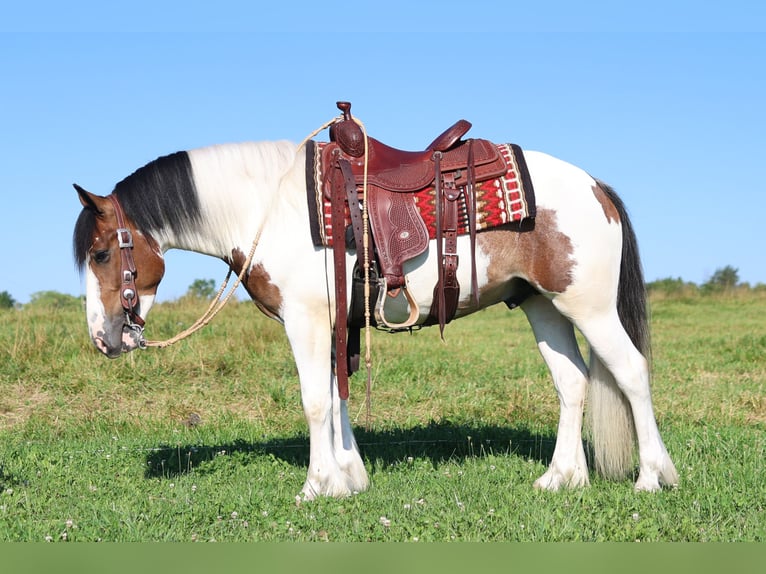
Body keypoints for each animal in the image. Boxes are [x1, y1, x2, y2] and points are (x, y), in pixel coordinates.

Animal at [72, 126, 678, 499]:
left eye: (100, 253)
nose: (103, 339)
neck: (269, 206)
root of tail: (597, 187)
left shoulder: (306, 321)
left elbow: (315, 401)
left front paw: (316, 486)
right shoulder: (336, 324)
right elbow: (337, 396)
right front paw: (349, 478)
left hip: (590, 307)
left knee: (631, 372)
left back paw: (653, 477)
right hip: (542, 306)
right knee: (572, 382)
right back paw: (562, 478)